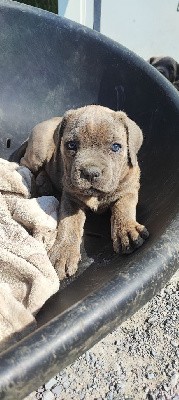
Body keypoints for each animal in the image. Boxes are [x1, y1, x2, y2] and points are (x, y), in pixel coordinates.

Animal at [10, 104, 149, 280]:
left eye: (116, 147)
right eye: (71, 145)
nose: (90, 173)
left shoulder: (129, 189)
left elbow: (123, 208)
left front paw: (127, 231)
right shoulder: (71, 199)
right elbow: (69, 225)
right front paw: (64, 253)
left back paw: (44, 183)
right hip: (37, 153)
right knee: (25, 166)